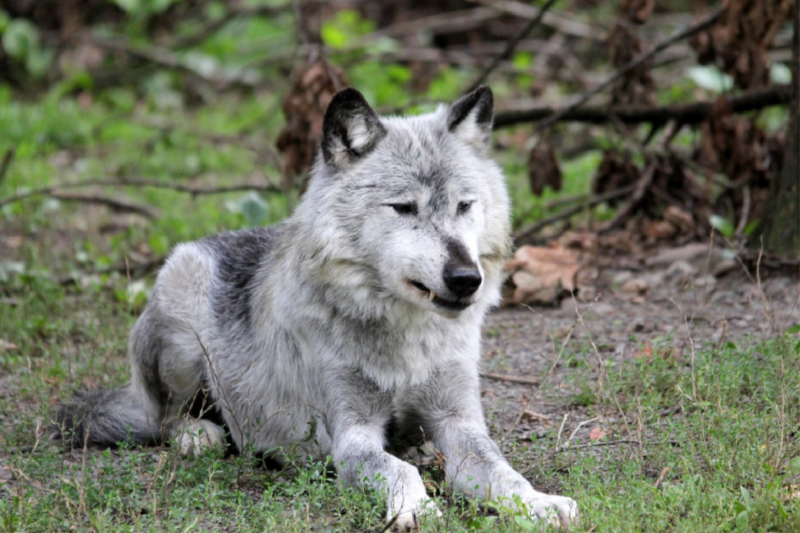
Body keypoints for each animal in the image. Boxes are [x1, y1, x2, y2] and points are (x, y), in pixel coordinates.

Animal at [56, 86, 580, 528]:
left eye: (464, 205)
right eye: (404, 208)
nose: (467, 278)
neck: (404, 338)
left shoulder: (459, 421)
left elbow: (502, 470)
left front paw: (540, 504)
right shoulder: (351, 434)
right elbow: (396, 470)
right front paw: (415, 507)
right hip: (184, 327)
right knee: (163, 417)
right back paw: (198, 435)